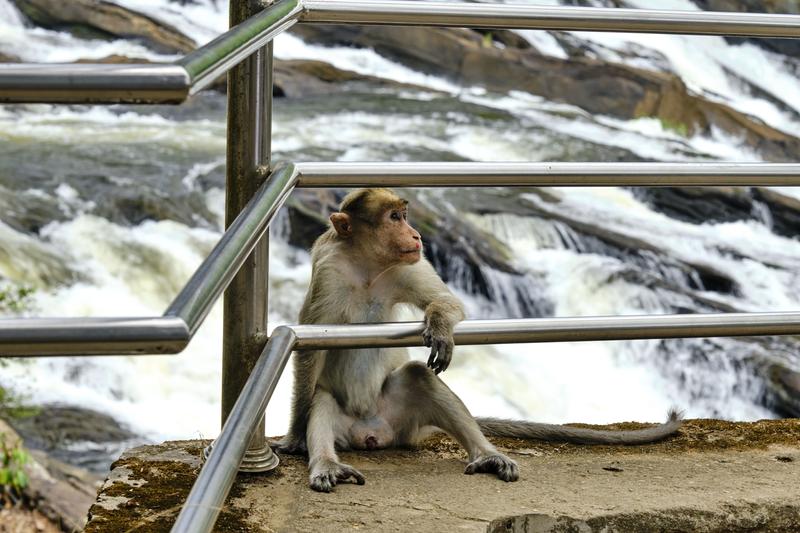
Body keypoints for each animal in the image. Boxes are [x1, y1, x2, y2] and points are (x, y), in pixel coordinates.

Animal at [274, 187, 680, 490]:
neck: (367, 268)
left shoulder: (410, 265)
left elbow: (446, 301)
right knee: (321, 401)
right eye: (394, 218)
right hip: (349, 425)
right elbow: (309, 348)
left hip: (403, 420)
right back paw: (326, 463)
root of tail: (373, 434)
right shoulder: (328, 271)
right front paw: (294, 435)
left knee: (419, 377)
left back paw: (486, 454)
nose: (416, 234)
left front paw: (440, 326)